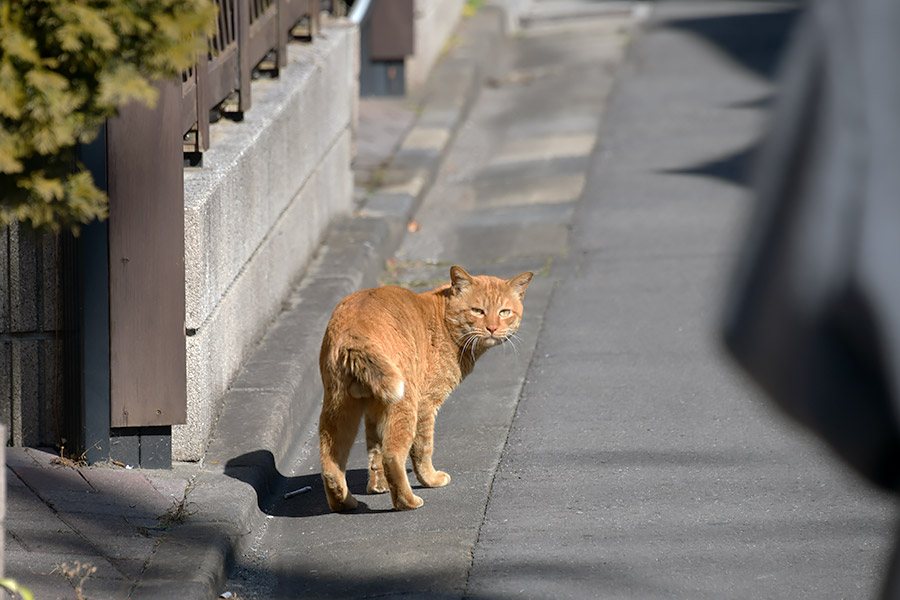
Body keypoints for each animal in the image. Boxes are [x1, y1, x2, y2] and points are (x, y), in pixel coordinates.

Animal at [318, 268, 532, 510]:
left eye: (504, 312)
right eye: (477, 311)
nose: (493, 328)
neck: (444, 320)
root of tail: (353, 331)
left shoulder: (374, 408)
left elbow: (374, 448)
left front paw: (377, 486)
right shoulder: (427, 404)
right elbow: (422, 448)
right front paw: (430, 479)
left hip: (340, 408)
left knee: (330, 463)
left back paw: (343, 502)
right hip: (404, 404)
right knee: (392, 455)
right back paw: (407, 501)